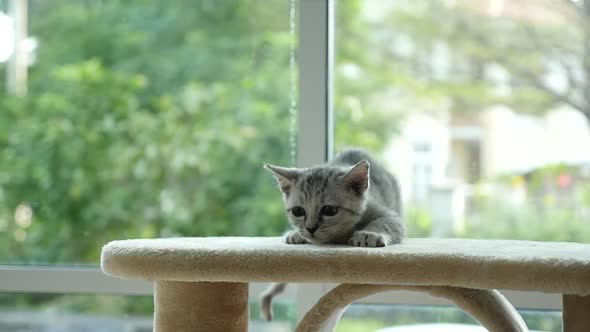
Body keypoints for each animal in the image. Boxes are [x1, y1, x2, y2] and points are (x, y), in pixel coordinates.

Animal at [262, 149, 404, 320]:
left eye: (329, 210)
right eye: (297, 211)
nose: (310, 228)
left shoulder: (391, 216)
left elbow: (384, 222)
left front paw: (368, 234)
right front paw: (295, 234)